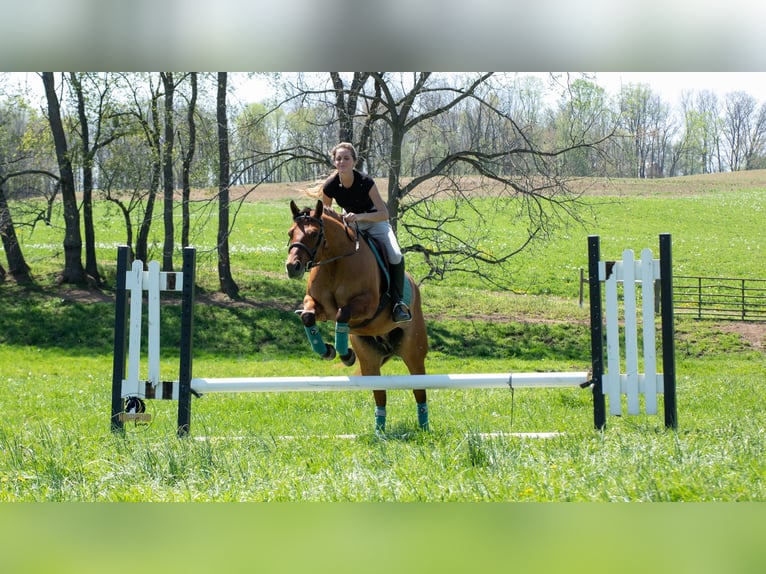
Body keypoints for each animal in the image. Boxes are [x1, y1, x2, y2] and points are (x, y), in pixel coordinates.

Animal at [285, 199, 429, 432]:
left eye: (314, 234)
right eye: (290, 232)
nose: (292, 267)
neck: (335, 263)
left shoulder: (367, 305)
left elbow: (342, 314)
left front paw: (345, 354)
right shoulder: (317, 306)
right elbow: (307, 317)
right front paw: (327, 351)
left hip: (413, 353)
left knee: (420, 390)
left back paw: (424, 428)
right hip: (370, 359)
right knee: (380, 395)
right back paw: (380, 431)